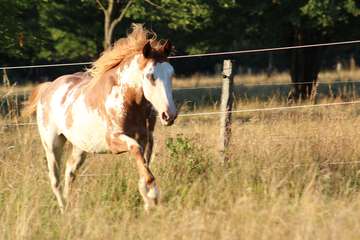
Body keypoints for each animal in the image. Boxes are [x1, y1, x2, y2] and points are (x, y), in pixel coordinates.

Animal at [23, 24, 178, 212]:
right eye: (150, 76)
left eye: (171, 74)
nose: (169, 115)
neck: (129, 102)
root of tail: (48, 88)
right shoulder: (114, 140)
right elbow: (136, 152)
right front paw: (152, 194)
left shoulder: (147, 138)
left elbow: (144, 163)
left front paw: (149, 200)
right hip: (52, 144)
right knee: (55, 179)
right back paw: (63, 210)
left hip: (80, 146)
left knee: (70, 172)